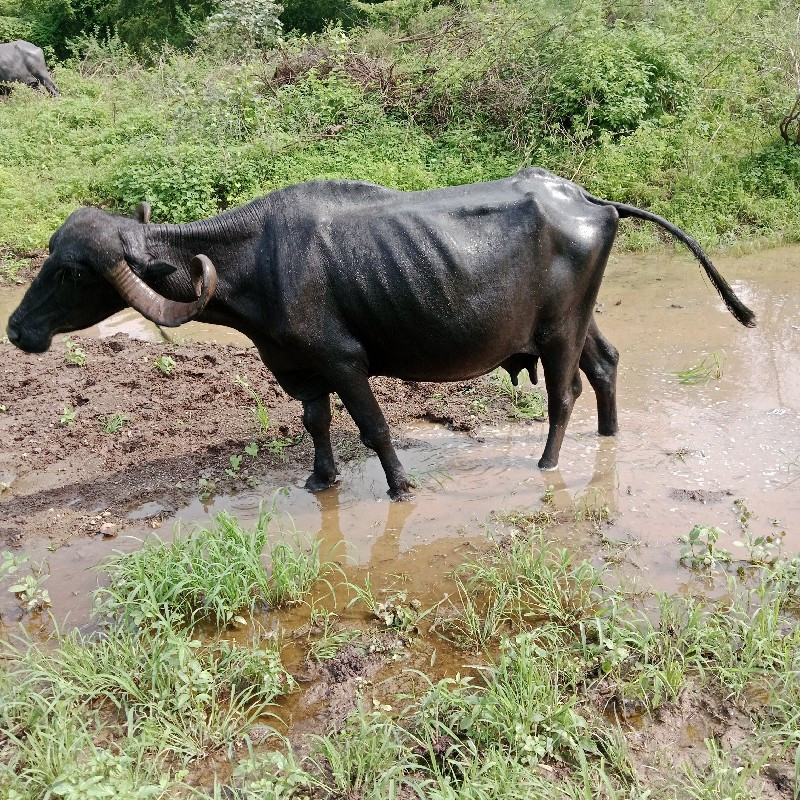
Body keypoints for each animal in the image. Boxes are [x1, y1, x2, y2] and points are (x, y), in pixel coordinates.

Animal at [7, 168, 756, 496]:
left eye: (72, 271)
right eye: (49, 255)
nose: (16, 329)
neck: (259, 261)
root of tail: (590, 199)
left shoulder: (343, 362)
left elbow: (372, 427)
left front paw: (398, 486)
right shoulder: (297, 368)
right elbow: (315, 423)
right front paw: (320, 479)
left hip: (560, 331)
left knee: (565, 391)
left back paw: (547, 463)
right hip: (581, 318)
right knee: (606, 365)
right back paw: (610, 437)